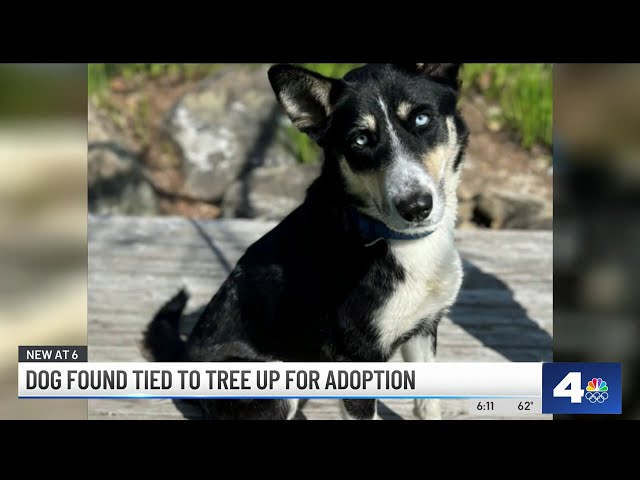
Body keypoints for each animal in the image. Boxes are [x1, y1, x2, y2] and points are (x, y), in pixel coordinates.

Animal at [142, 62, 468, 418]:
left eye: (421, 119)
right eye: (360, 139)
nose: (416, 207)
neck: (394, 239)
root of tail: (185, 357)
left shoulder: (423, 329)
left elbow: (428, 406)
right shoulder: (356, 358)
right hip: (272, 384)